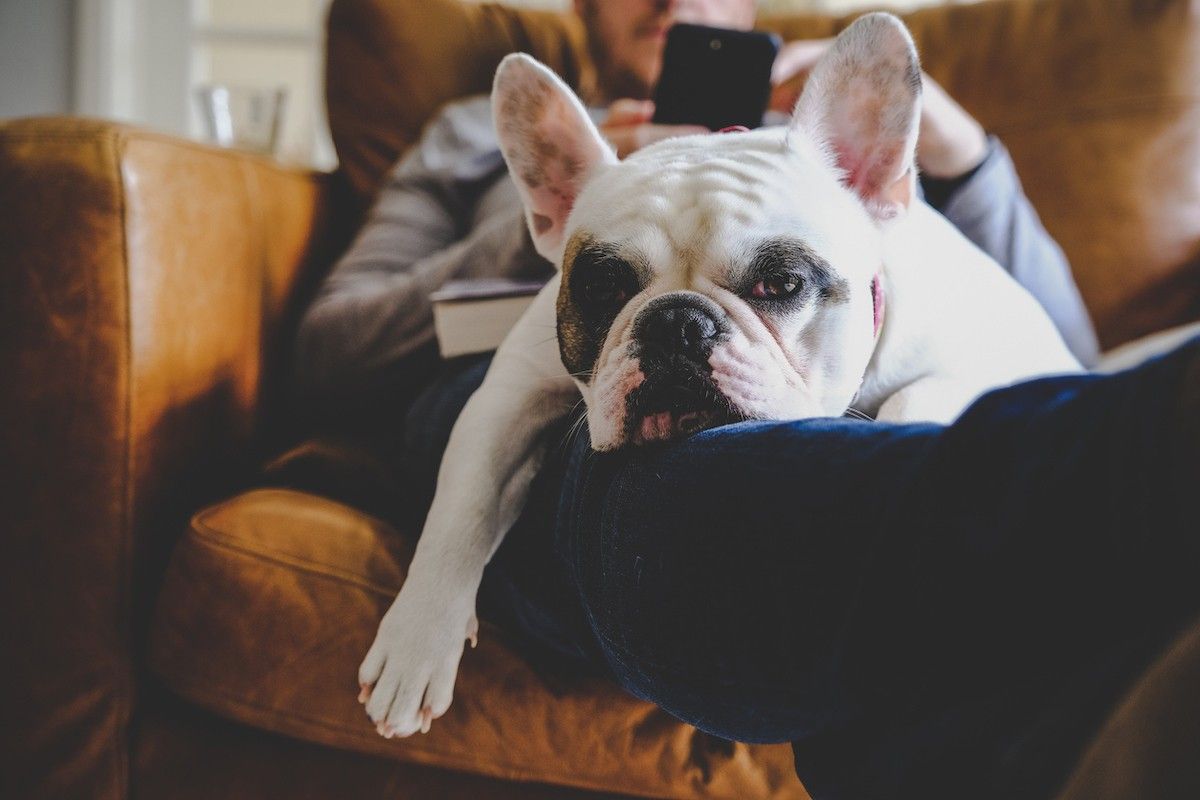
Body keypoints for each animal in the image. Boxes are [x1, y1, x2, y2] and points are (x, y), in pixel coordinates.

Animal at [355, 12, 1080, 738]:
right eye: (603, 287)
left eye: (781, 284)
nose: (677, 322)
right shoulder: (504, 402)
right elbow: (461, 507)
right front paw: (416, 642)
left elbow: (915, 402)